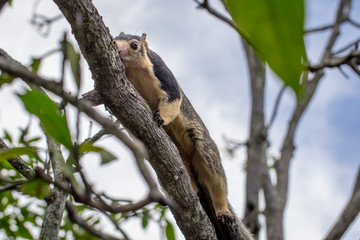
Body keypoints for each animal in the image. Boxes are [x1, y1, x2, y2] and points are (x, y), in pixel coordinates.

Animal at [115, 32, 253, 240]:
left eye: (134, 45)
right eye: (113, 39)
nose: (118, 49)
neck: (135, 70)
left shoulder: (163, 73)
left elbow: (173, 99)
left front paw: (161, 118)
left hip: (204, 148)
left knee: (218, 183)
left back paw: (223, 210)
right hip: (181, 160)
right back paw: (193, 192)